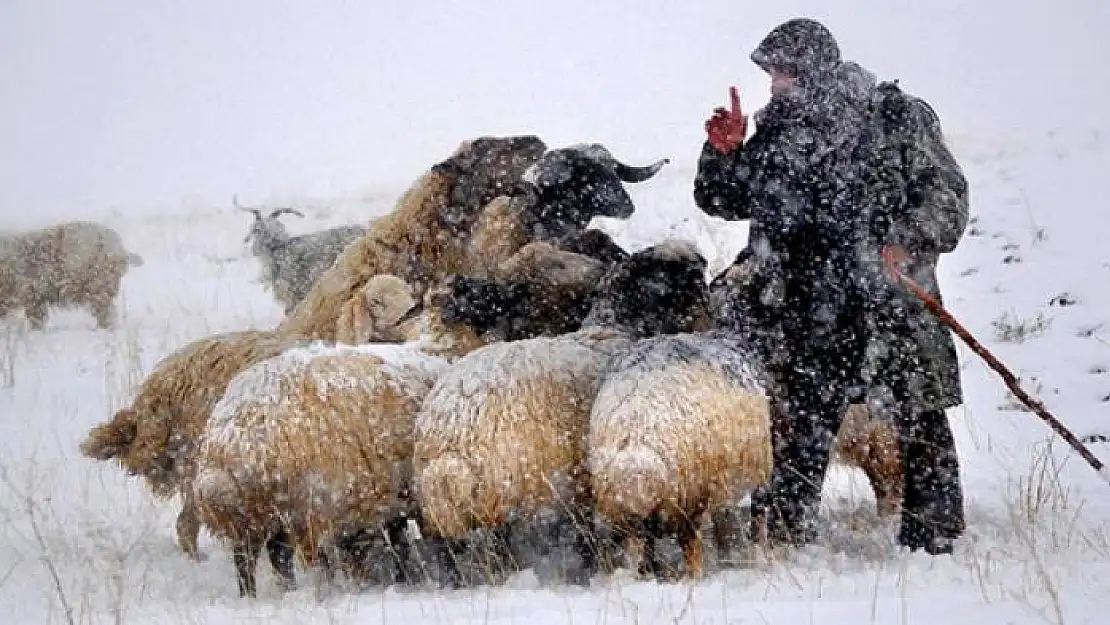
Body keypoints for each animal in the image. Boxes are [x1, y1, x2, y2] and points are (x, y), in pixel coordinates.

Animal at [410, 239, 710, 586]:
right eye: (678, 277)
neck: (615, 327)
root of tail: (447, 432)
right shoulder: (591, 477)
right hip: (501, 486)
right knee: (497, 543)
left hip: (444, 503)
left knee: (447, 550)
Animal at [590, 330, 772, 581]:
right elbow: (650, 548)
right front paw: (648, 574)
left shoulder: (691, 503)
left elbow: (690, 547)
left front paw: (693, 578)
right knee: (724, 519)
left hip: (759, 474)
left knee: (758, 518)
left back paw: (758, 559)